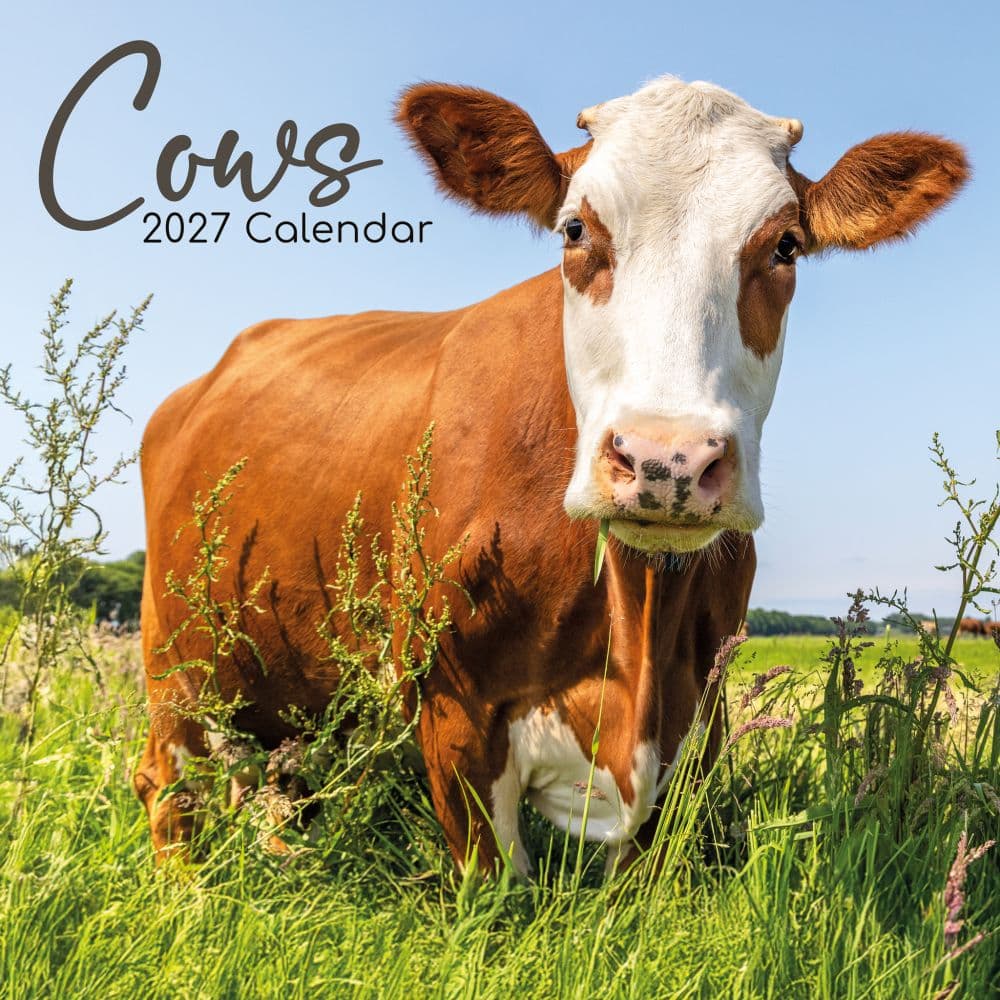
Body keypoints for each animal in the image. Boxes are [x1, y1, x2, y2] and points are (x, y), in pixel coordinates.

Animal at [135, 76, 968, 875]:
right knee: (167, 784)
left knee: (279, 785)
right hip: (174, 662)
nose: (667, 458)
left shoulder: (696, 722)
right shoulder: (453, 714)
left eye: (787, 244)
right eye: (575, 230)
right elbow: (496, 888)